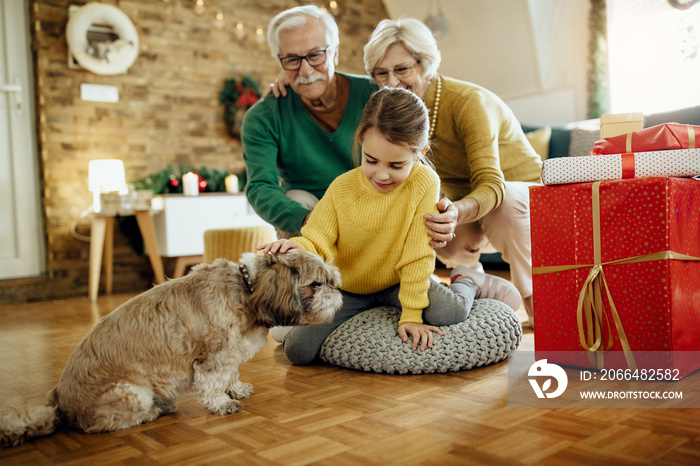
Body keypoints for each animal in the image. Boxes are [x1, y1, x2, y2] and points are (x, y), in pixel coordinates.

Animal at [0, 249, 340, 450]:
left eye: (330, 281)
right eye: (317, 284)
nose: (337, 290)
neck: (248, 290)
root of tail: (58, 402)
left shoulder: (229, 355)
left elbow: (231, 374)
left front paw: (236, 388)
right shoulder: (212, 357)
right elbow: (213, 384)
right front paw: (221, 403)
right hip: (132, 392)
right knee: (102, 425)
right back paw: (152, 411)